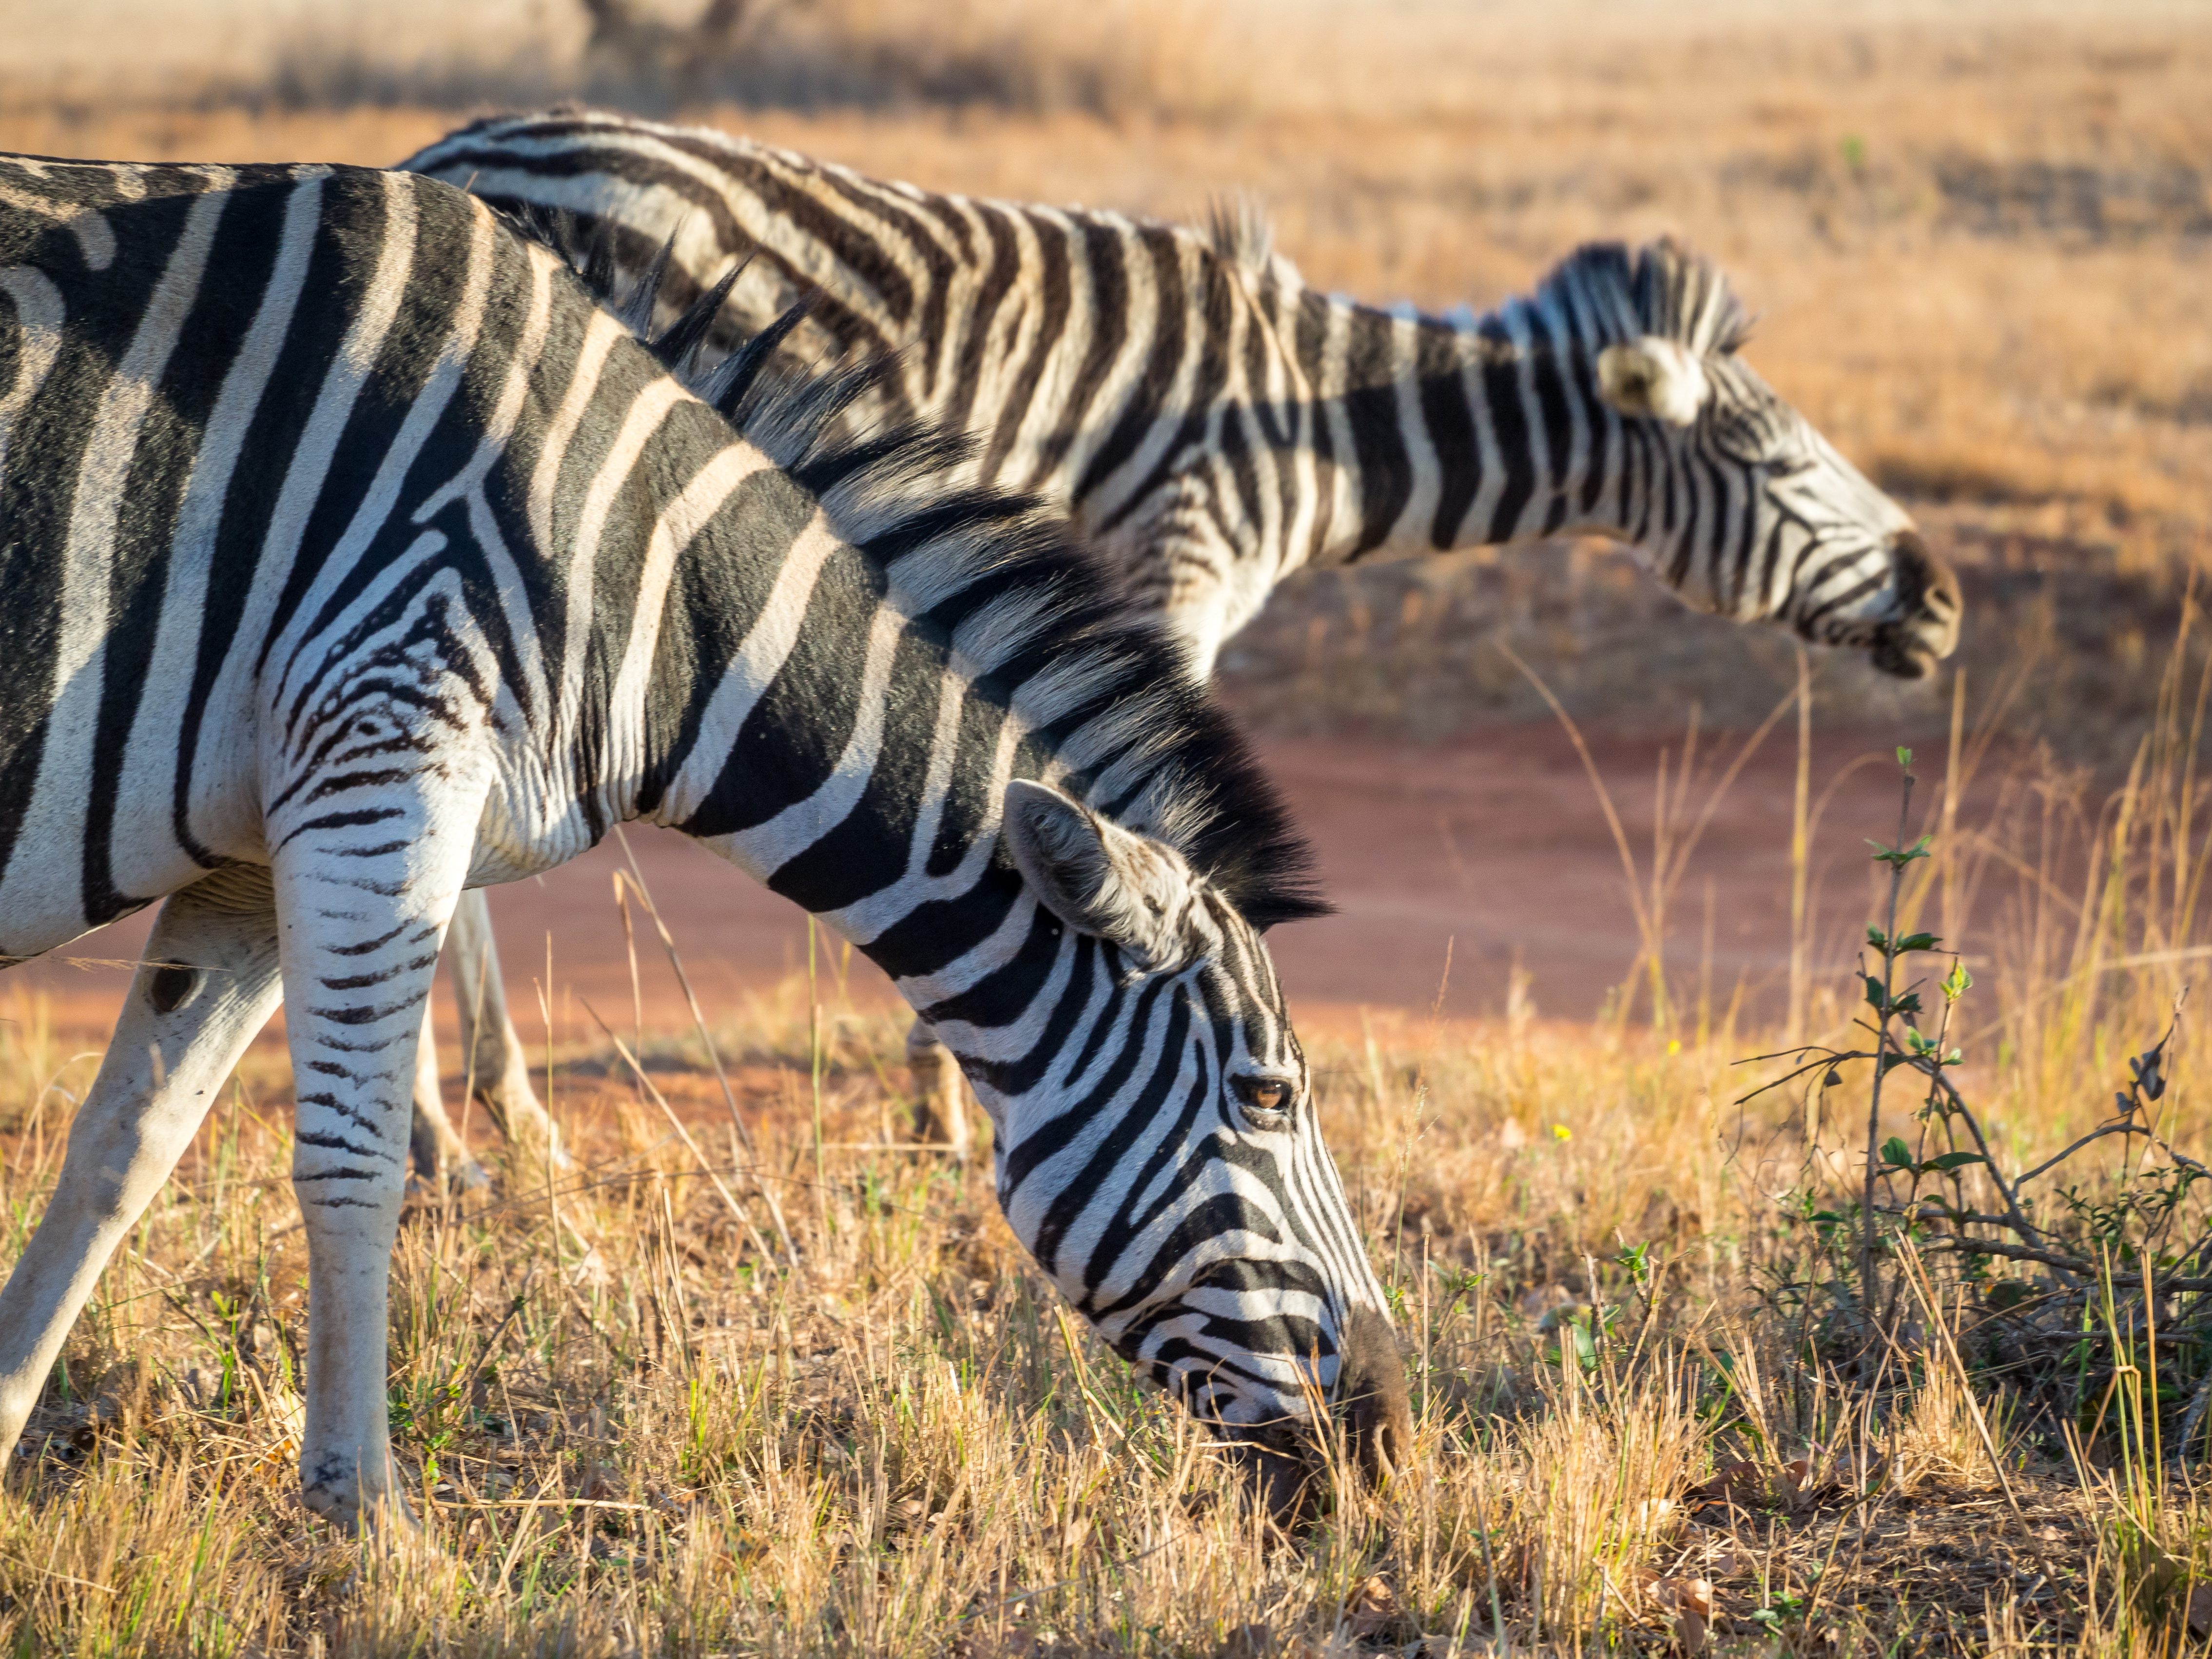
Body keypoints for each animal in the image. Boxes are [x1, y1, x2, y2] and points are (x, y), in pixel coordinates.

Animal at [0, 157, 1408, 1529]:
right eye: (1268, 1097)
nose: (1392, 1436)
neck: (647, 572)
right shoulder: (378, 742)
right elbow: (352, 1164)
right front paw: (365, 1525)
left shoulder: (254, 844)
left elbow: (124, 1149)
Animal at [398, 110, 1963, 1159]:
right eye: (1775, 462)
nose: (1941, 600)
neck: (1304, 411)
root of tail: (450, 153)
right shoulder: (1178, 570)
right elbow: (1083, 808)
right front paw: (955, 1093)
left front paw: (938, 1084)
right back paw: (451, 1127)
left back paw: (500, 1105)